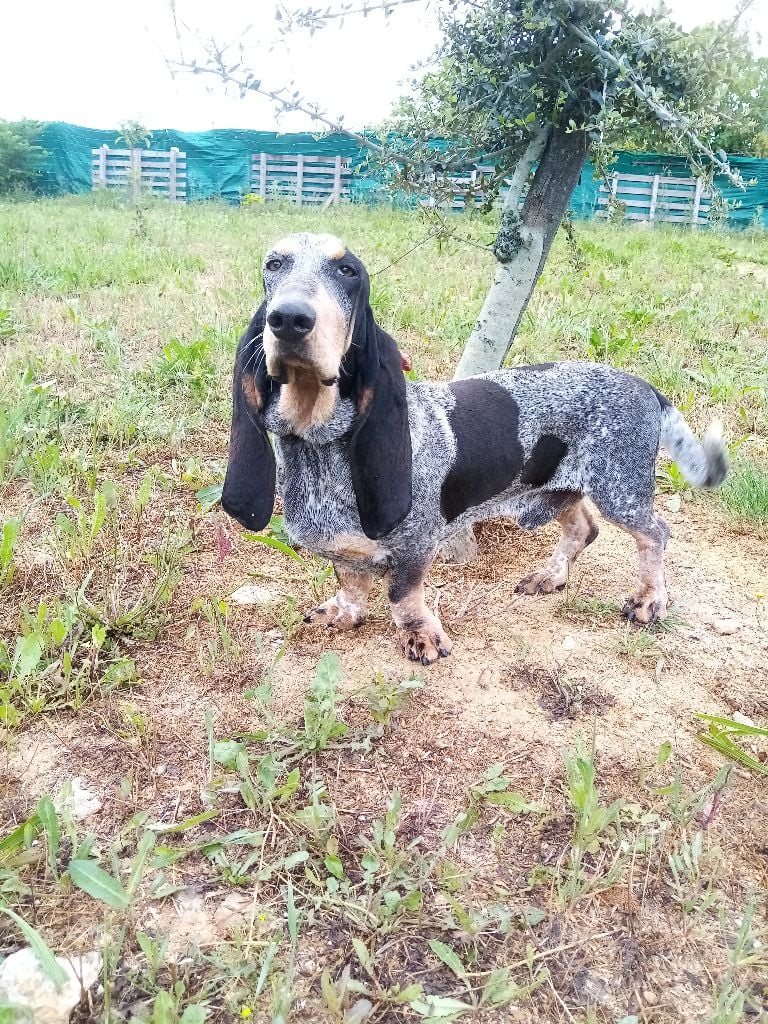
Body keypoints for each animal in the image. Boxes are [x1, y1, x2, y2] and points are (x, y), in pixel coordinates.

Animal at [221, 232, 729, 663]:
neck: (321, 441)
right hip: (558, 488)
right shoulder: (342, 551)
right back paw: (550, 576)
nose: (288, 318)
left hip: (619, 491)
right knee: (584, 529)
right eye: (273, 264)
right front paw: (345, 611)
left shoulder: (416, 546)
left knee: (655, 533)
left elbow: (402, 595)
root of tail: (645, 387)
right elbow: (352, 581)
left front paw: (420, 635)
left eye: (348, 271)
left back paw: (650, 600)